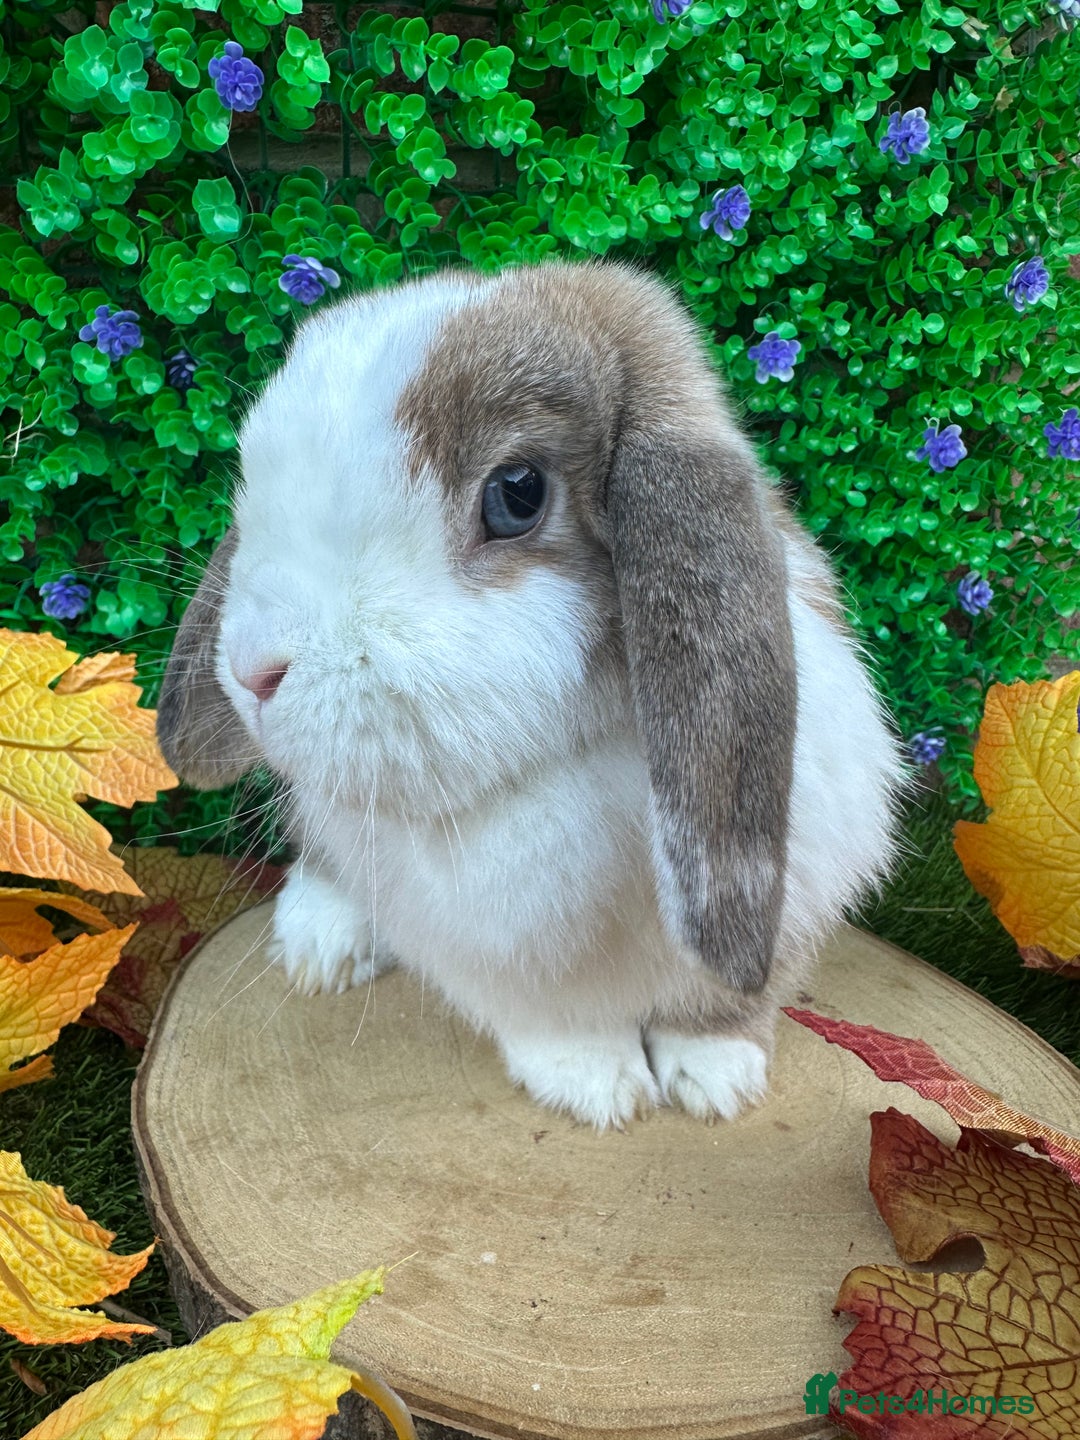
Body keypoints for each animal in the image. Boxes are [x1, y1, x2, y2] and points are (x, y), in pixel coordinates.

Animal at [157, 258, 908, 1130]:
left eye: (517, 492)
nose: (252, 670)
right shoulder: (502, 955)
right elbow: (554, 1021)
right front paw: (600, 1089)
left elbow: (730, 1003)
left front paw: (718, 1077)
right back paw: (322, 945)